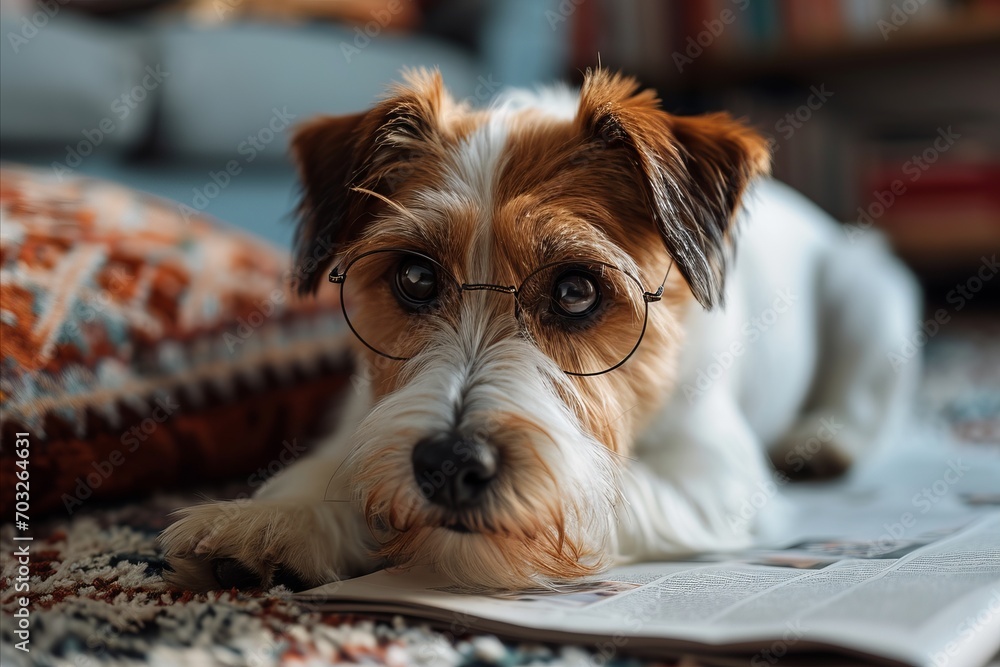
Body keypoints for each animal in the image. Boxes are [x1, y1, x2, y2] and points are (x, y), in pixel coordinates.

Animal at [160, 66, 916, 588]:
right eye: (414, 278)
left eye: (576, 290)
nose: (450, 464)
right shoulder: (368, 413)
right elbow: (338, 462)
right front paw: (272, 519)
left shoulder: (719, 475)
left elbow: (607, 490)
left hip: (871, 296)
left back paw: (827, 439)